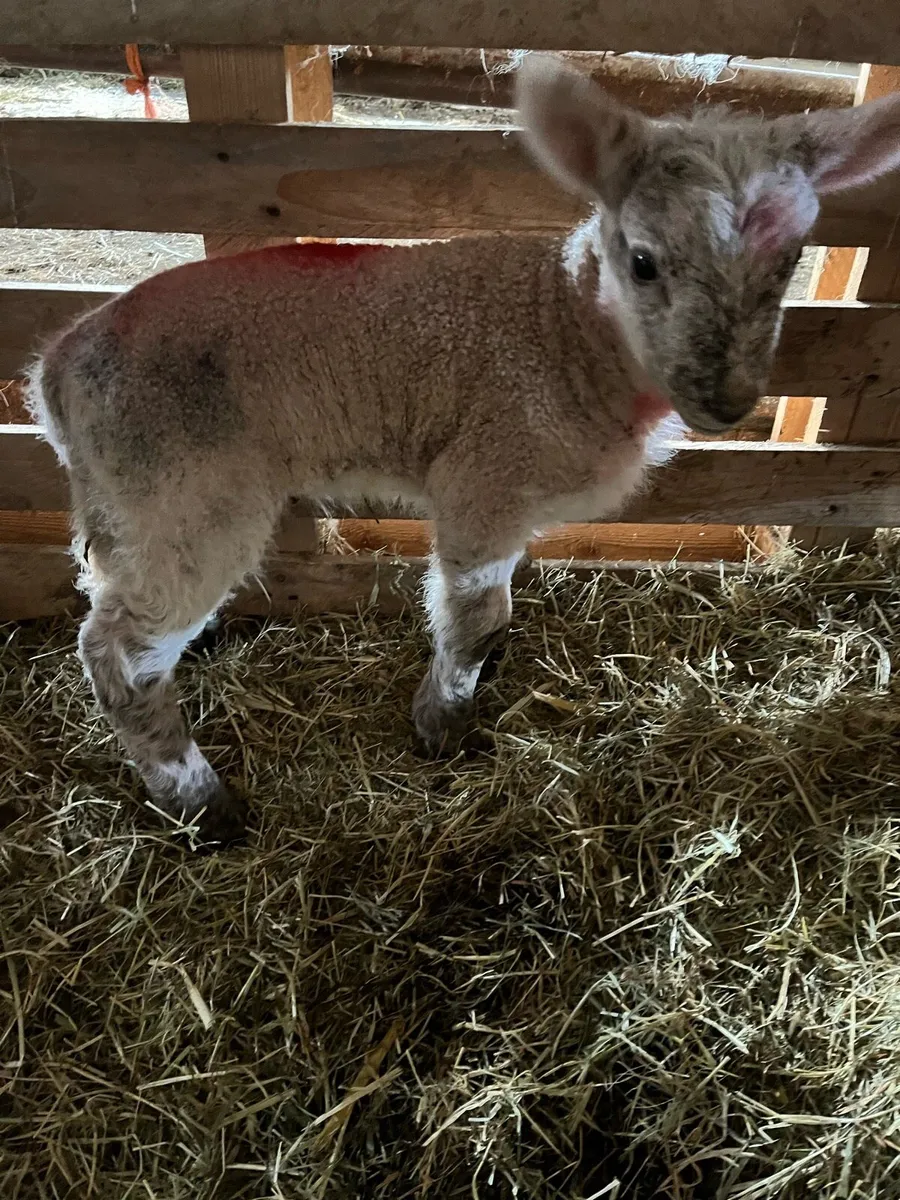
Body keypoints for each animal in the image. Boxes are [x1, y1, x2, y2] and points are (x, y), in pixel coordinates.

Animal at [26, 55, 900, 843]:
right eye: (644, 261)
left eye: (791, 260)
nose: (726, 400)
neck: (565, 328)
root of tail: (58, 368)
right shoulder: (488, 473)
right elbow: (477, 618)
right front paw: (441, 725)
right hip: (189, 489)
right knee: (121, 653)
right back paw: (201, 804)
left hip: (125, 493)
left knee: (108, 591)